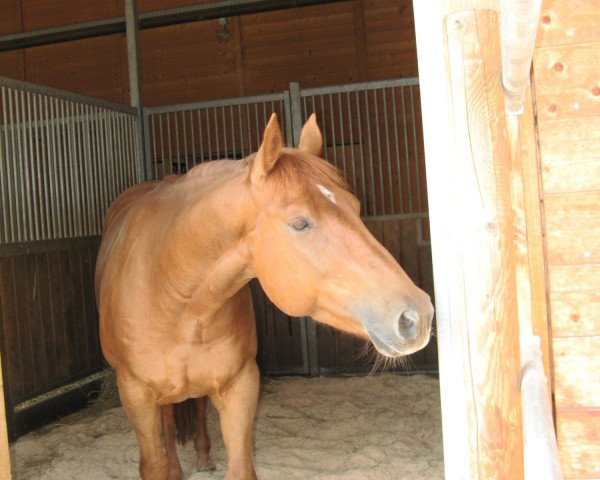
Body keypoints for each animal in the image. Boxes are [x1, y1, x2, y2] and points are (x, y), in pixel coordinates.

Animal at [94, 113, 434, 480]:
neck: (174, 294)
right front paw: (168, 467)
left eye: (356, 208)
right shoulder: (136, 395)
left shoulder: (240, 386)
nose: (418, 316)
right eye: (299, 223)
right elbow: (153, 463)